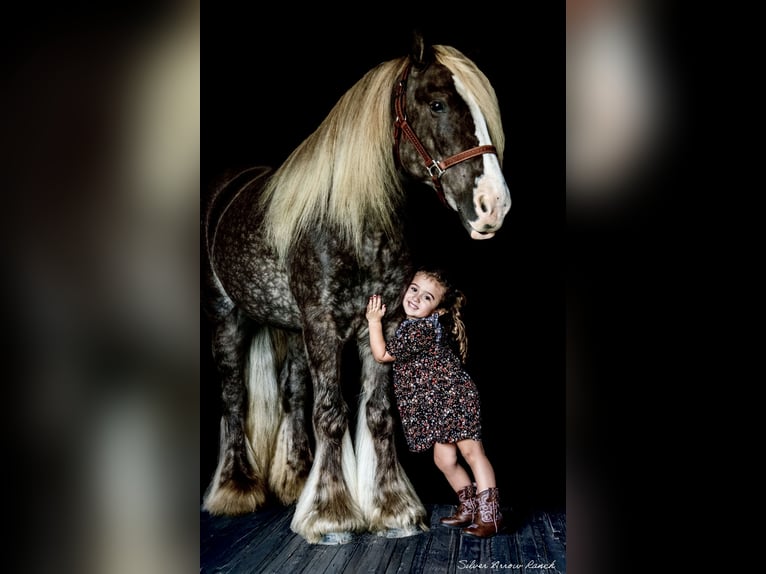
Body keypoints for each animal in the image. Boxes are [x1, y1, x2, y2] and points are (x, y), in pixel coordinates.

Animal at [202, 33, 510, 548]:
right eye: (437, 103)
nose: (493, 205)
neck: (351, 223)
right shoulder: (324, 328)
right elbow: (331, 413)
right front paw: (330, 517)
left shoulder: (383, 324)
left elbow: (378, 414)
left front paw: (391, 512)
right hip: (229, 318)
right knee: (233, 398)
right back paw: (236, 490)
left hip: (292, 331)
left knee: (293, 396)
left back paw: (295, 482)